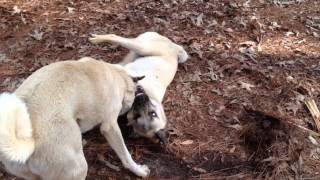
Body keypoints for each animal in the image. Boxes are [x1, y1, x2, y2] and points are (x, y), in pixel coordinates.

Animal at [0, 57, 152, 179]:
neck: (117, 74)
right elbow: (125, 154)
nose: (141, 97)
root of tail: (27, 142)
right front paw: (138, 170)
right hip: (78, 168)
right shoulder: (110, 127)